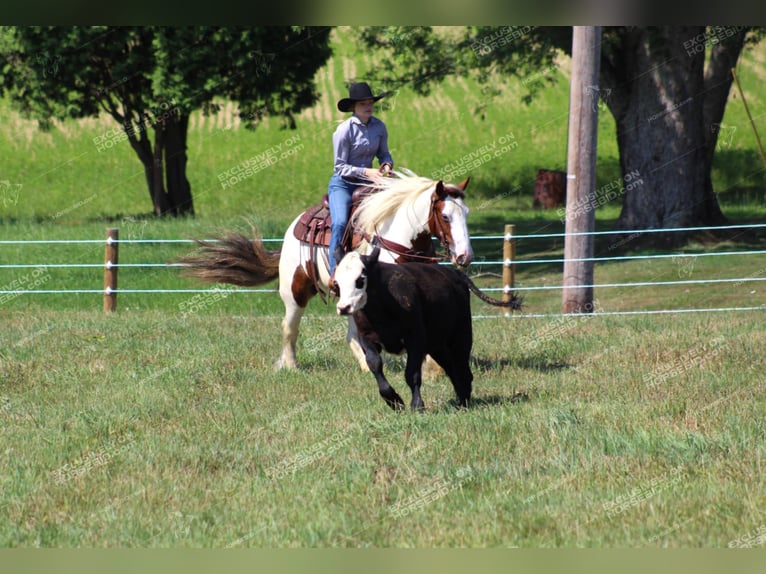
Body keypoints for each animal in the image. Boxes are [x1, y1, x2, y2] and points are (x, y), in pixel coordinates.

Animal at [179, 169, 474, 372]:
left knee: (350, 333)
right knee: (289, 327)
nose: (465, 256)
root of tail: (293, 228)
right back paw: (291, 366)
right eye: (445, 216)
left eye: (467, 214)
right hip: (295, 292)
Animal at [334, 245, 474, 412]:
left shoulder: (415, 338)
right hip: (438, 345)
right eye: (337, 282)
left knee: (462, 366)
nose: (343, 307)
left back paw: (465, 400)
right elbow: (375, 364)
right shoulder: (366, 338)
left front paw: (417, 405)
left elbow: (412, 373)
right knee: (451, 367)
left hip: (461, 336)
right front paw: (394, 400)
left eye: (360, 279)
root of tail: (456, 274)